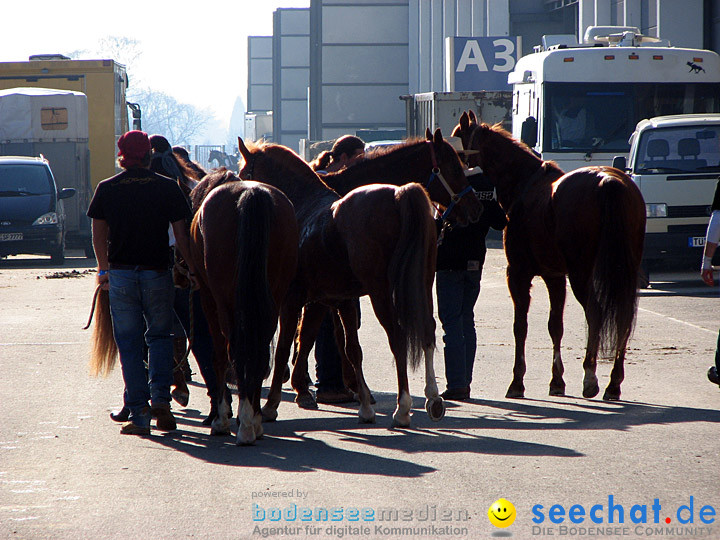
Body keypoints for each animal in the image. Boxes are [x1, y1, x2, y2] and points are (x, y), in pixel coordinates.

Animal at [188, 171, 298, 446]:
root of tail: (251, 193)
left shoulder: (209, 298)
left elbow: (218, 356)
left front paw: (221, 419)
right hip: (274, 296)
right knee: (259, 350)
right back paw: (254, 420)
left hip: (223, 301)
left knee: (233, 350)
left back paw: (244, 422)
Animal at [239, 137, 448, 428]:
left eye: (243, 175)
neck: (304, 207)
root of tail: (399, 195)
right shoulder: (340, 300)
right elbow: (350, 349)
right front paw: (364, 406)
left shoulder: (292, 301)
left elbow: (283, 347)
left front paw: (271, 406)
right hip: (422, 286)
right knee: (427, 329)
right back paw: (433, 399)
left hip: (382, 293)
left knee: (397, 337)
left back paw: (403, 408)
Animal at [452, 110, 644, 400]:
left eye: (457, 140)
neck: (524, 185)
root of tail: (609, 182)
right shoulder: (555, 277)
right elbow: (555, 326)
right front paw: (557, 381)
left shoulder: (518, 274)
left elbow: (520, 326)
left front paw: (517, 382)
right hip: (624, 273)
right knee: (623, 317)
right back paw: (613, 383)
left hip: (581, 274)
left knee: (595, 312)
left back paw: (590, 377)